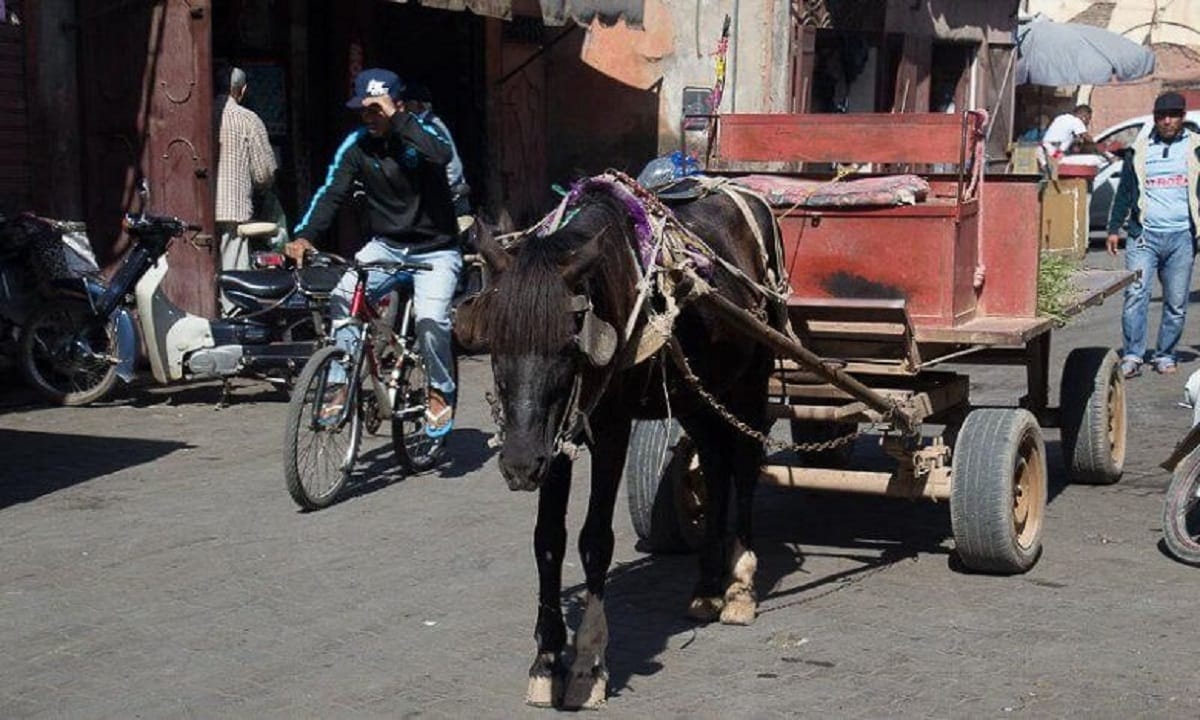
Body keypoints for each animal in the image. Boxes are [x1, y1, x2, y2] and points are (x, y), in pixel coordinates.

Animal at [458, 175, 787, 710]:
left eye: (567, 347)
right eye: (496, 343)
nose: (519, 465)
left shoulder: (609, 430)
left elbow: (595, 540)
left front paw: (588, 666)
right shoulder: (557, 438)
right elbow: (548, 541)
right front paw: (545, 663)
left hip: (752, 375)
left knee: (743, 463)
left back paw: (739, 586)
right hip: (696, 390)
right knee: (715, 462)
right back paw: (707, 585)